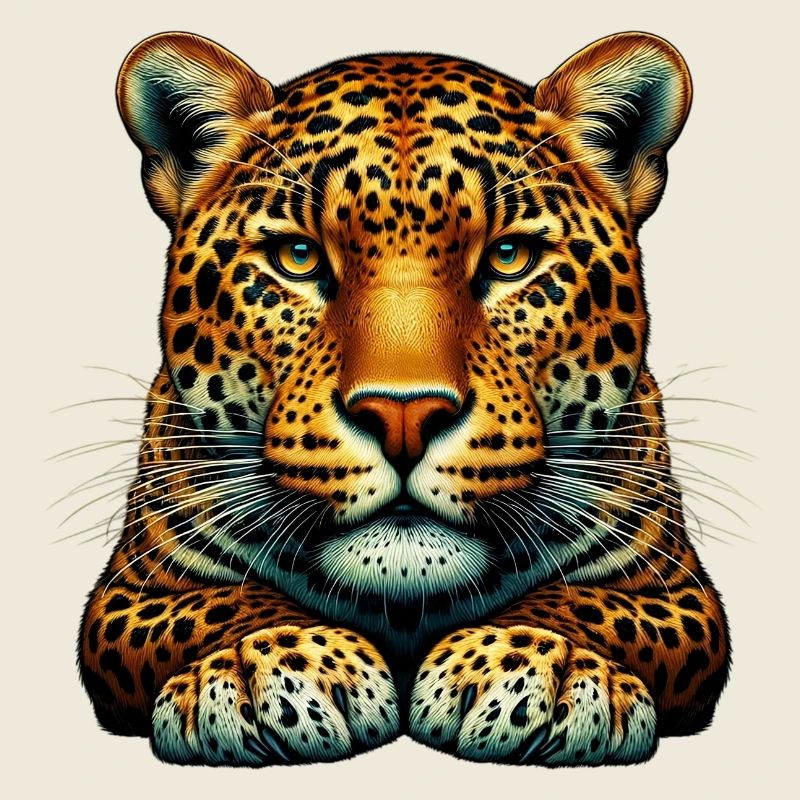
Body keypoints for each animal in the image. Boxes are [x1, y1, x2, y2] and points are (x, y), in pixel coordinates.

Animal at [79, 30, 730, 766]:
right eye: (298, 256)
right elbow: (220, 604)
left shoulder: (675, 591)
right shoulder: (132, 591)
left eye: (509, 256)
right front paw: (272, 667)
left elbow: (586, 603)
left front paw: (534, 669)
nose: (403, 416)